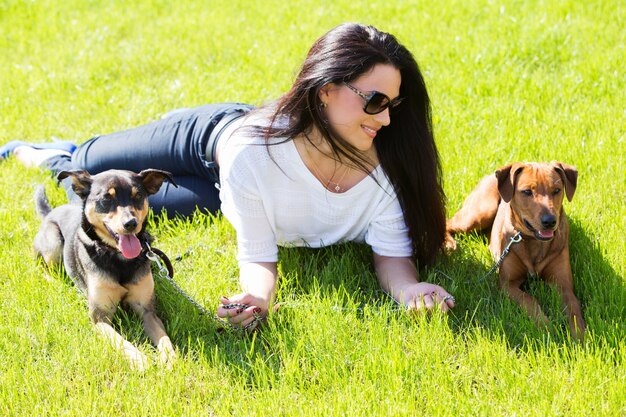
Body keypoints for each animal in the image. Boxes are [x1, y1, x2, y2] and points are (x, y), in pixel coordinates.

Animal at [446, 161, 584, 340]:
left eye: (556, 190)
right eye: (527, 192)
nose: (550, 221)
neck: (533, 241)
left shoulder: (563, 285)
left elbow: (574, 309)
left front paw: (580, 337)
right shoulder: (507, 284)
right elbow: (529, 300)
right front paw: (546, 328)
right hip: (480, 212)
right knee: (448, 223)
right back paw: (449, 243)